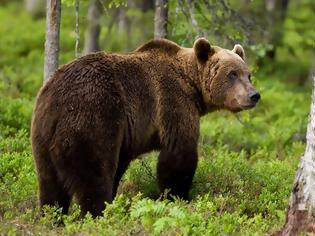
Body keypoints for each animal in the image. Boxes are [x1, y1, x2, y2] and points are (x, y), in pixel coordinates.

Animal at [30, 37, 260, 217]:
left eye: (248, 74)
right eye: (232, 74)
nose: (254, 95)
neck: (192, 85)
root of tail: (55, 99)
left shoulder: (126, 135)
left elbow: (121, 164)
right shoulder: (173, 102)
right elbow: (179, 155)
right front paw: (177, 196)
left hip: (42, 135)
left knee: (49, 184)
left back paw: (52, 217)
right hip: (92, 117)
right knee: (93, 175)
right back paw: (99, 214)